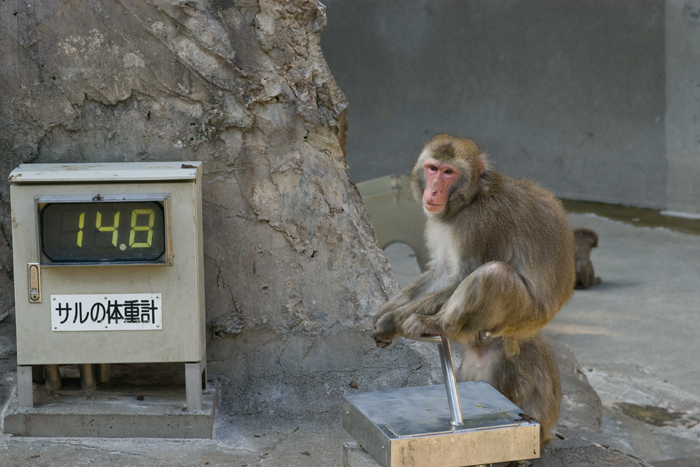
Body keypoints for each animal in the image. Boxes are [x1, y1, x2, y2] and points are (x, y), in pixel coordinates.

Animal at [372, 133, 576, 444]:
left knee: (493, 274)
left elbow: (462, 276)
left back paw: (435, 324)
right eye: (433, 168)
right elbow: (443, 272)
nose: (433, 190)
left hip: (518, 317)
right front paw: (387, 311)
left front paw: (392, 321)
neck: (470, 200)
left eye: (449, 173)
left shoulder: (479, 224)